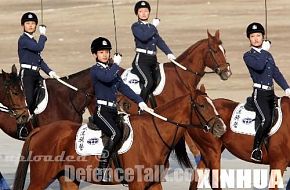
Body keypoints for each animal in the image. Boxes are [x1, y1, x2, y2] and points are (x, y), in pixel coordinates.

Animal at [12, 87, 225, 189]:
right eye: (202, 106)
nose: (221, 127)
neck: (153, 135)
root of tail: (41, 131)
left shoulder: (154, 183)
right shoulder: (136, 184)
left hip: (68, 179)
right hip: (41, 179)